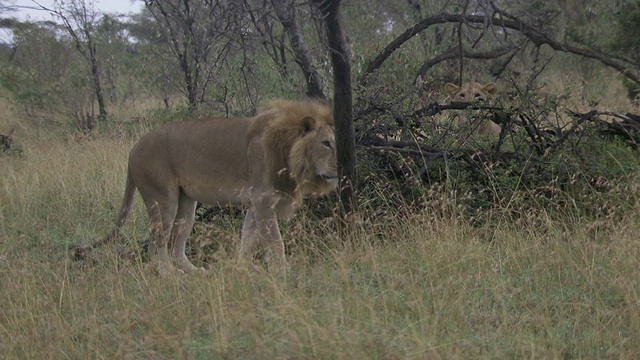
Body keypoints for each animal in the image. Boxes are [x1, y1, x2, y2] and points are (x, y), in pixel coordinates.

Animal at [82, 98, 338, 276]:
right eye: (326, 143)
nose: (339, 167)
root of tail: (134, 149)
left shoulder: (255, 203)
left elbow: (247, 239)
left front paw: (243, 268)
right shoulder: (263, 199)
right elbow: (276, 242)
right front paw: (283, 273)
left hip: (186, 204)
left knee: (175, 247)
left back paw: (197, 274)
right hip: (162, 199)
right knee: (156, 246)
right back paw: (169, 276)